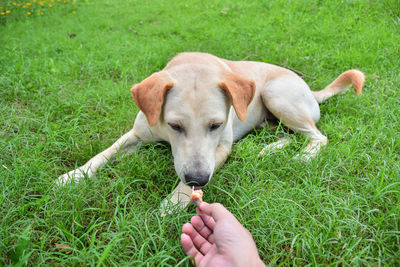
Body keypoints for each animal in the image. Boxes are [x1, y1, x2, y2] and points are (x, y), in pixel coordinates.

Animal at [57, 52, 366, 214]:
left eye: (216, 125)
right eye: (175, 125)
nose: (199, 178)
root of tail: (310, 90)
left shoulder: (220, 149)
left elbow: (188, 185)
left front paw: (172, 203)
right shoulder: (136, 134)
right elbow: (103, 154)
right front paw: (73, 176)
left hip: (275, 94)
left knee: (318, 136)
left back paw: (304, 157)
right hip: (268, 118)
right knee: (288, 135)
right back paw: (268, 150)